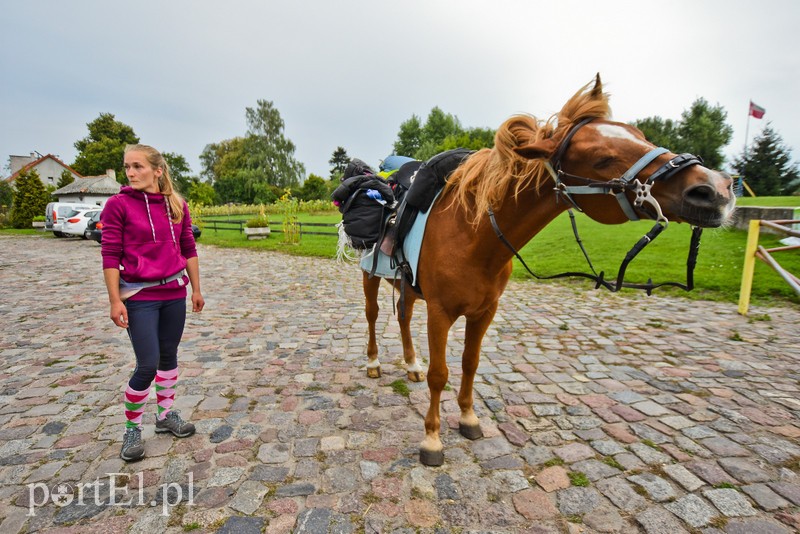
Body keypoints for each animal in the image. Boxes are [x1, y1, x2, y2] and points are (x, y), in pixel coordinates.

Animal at [360, 73, 736, 466]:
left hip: (406, 287)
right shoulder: (440, 312)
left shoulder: (484, 312)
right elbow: (440, 374)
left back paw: (411, 365)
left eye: (641, 134)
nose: (716, 188)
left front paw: (468, 417)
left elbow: (469, 363)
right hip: (370, 277)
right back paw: (373, 363)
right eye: (602, 158)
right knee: (373, 315)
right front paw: (432, 439)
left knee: (402, 316)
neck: (472, 233)